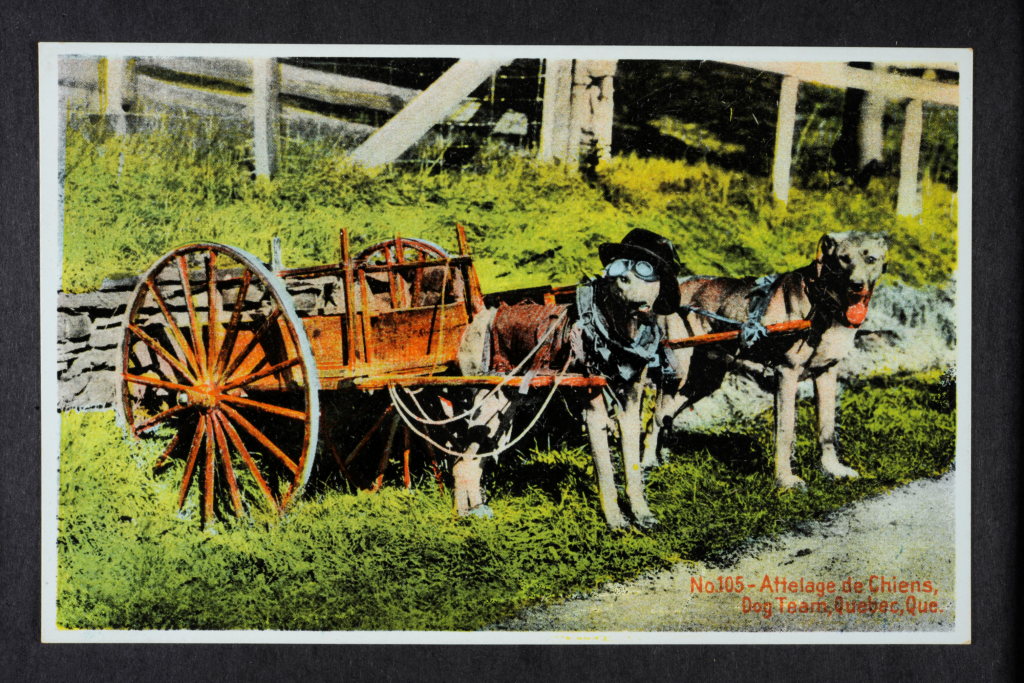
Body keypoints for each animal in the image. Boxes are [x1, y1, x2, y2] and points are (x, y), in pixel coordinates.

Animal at [647, 232, 888, 489]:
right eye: (843, 259)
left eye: (871, 259)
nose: (856, 285)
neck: (820, 299)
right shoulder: (786, 374)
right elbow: (785, 432)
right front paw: (784, 480)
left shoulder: (827, 374)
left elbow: (827, 429)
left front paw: (831, 468)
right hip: (678, 375)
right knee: (656, 418)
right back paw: (647, 463)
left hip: (702, 382)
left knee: (666, 417)